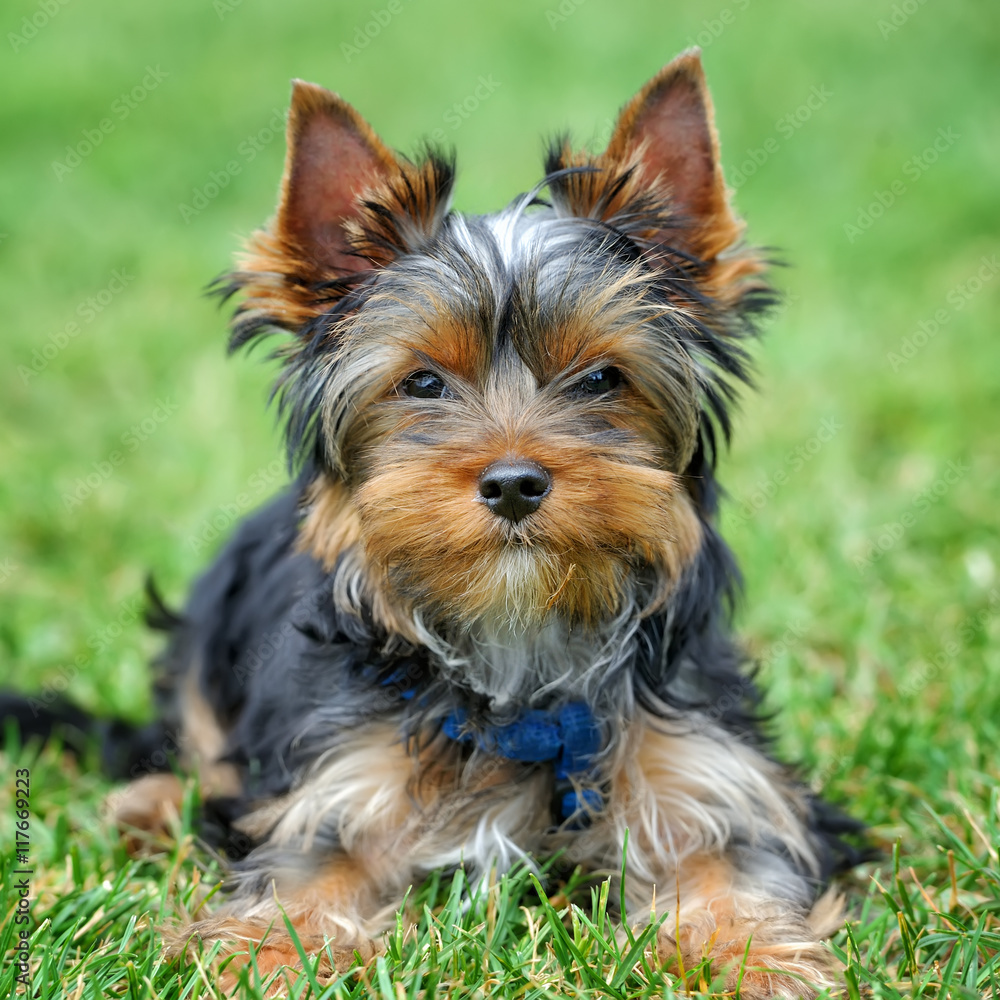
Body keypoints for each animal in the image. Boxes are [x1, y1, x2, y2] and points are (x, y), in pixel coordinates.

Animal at [13, 48, 868, 1000]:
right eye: (423, 382)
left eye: (602, 379)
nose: (514, 484)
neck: (519, 643)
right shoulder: (343, 777)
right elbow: (309, 862)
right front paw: (266, 954)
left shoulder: (709, 768)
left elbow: (734, 860)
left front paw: (750, 956)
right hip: (208, 633)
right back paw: (152, 805)